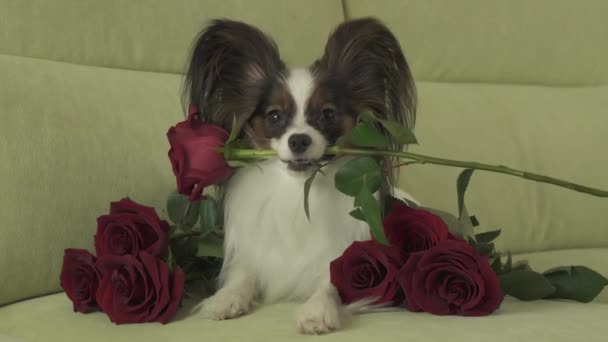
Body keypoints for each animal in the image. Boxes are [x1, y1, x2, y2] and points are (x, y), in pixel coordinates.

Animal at [183, 18, 416, 334]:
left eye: (327, 114)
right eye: (275, 116)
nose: (298, 140)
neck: (298, 193)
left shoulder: (344, 257)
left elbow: (331, 282)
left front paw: (317, 311)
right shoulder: (255, 255)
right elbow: (242, 275)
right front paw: (224, 299)